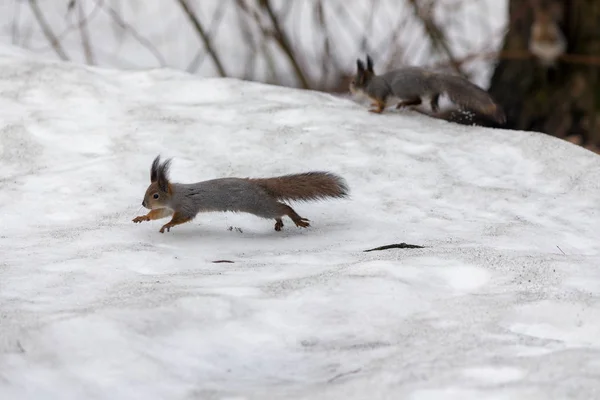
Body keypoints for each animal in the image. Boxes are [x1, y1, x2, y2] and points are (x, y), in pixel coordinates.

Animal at [131, 155, 346, 233]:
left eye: (155, 195)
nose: (143, 204)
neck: (175, 195)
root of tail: (256, 183)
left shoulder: (186, 205)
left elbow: (181, 218)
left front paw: (167, 225)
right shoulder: (168, 208)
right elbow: (158, 214)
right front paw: (143, 217)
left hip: (258, 205)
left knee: (283, 207)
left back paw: (296, 219)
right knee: (278, 210)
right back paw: (279, 223)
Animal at [352, 54, 506, 123]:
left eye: (354, 82)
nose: (350, 88)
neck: (370, 83)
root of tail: (429, 79)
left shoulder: (379, 92)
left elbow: (382, 105)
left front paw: (376, 110)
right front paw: (373, 105)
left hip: (402, 89)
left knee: (418, 100)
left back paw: (405, 103)